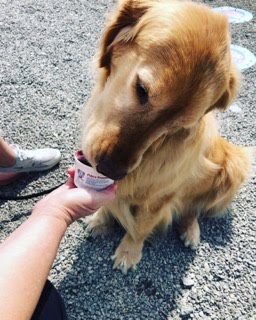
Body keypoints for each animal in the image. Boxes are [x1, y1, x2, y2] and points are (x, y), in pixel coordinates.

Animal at [81, 0, 252, 274]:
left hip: (233, 165)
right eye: (141, 89)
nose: (110, 170)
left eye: (178, 126)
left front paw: (129, 253)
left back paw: (190, 231)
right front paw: (100, 219)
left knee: (193, 208)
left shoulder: (161, 195)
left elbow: (140, 227)